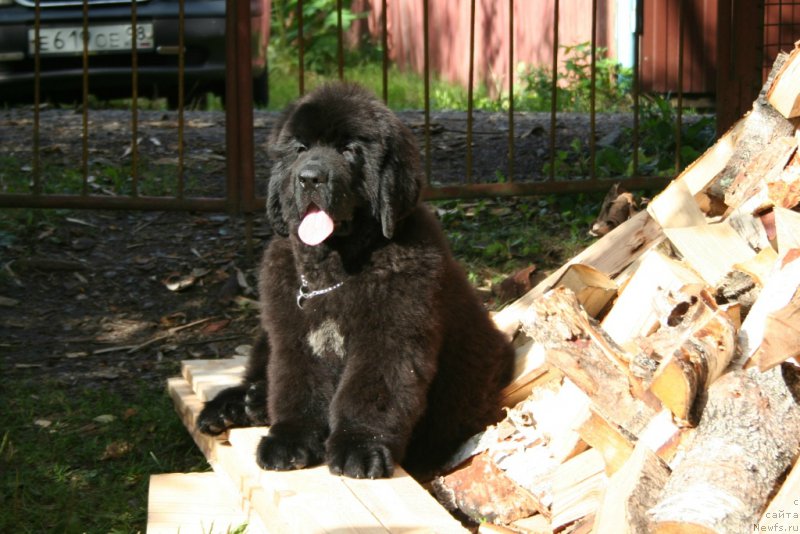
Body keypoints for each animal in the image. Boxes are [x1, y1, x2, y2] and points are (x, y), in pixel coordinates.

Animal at [197, 84, 516, 482]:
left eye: (349, 150)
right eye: (300, 149)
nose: (309, 177)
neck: (335, 270)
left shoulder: (389, 338)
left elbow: (369, 391)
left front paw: (359, 448)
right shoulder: (292, 336)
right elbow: (295, 386)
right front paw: (289, 439)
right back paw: (235, 404)